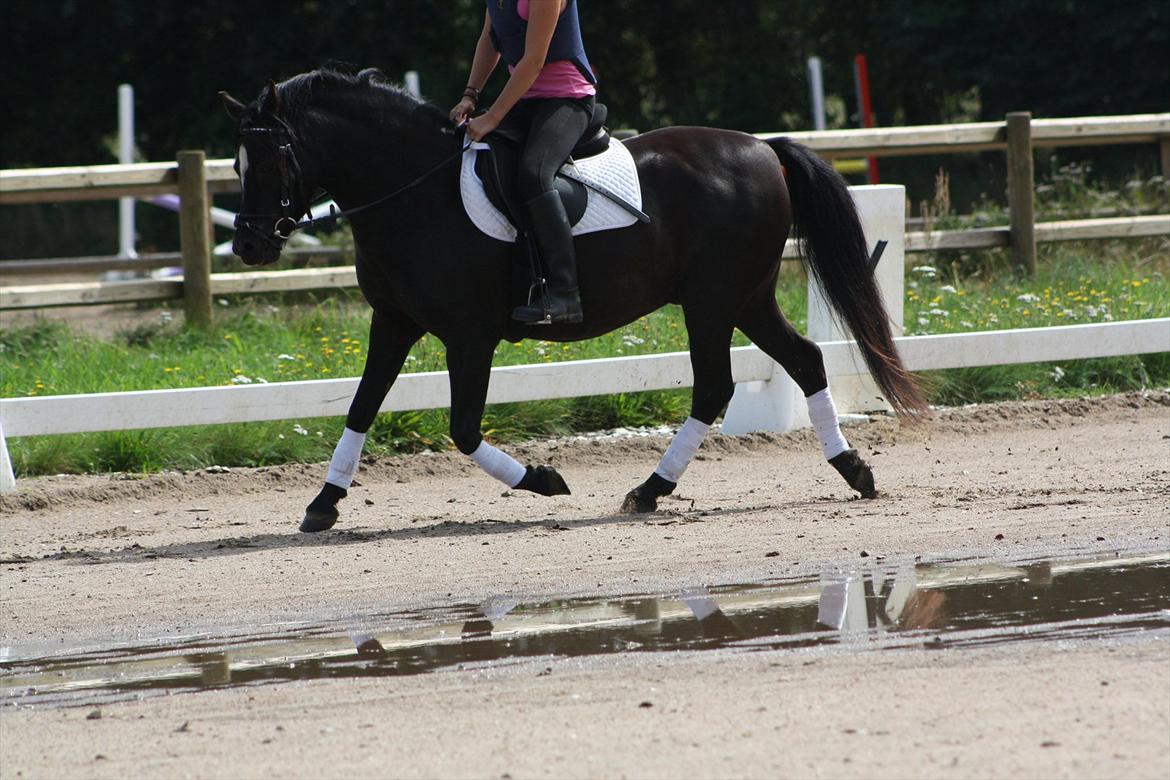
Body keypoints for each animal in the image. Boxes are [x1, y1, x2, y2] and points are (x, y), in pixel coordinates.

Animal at [219, 67, 926, 533]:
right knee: (802, 360)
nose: (249, 245)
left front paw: (543, 480)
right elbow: (362, 407)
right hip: (744, 297)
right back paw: (852, 470)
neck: (415, 190)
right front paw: (323, 504)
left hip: (713, 300)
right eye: (235, 162)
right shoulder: (393, 323)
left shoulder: (469, 336)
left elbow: (463, 429)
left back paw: (650, 490)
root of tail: (759, 147)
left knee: (716, 386)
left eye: (275, 155)